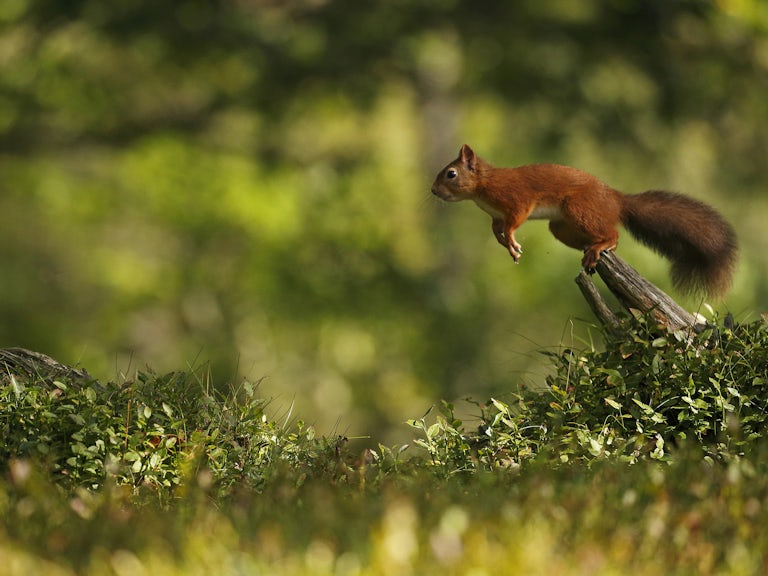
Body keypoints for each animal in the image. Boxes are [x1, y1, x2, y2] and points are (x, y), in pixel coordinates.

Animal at [431, 144, 738, 299]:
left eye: (450, 174)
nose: (433, 191)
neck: (483, 187)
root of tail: (615, 199)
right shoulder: (495, 215)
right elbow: (497, 229)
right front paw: (506, 244)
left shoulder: (517, 200)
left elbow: (515, 220)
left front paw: (512, 241)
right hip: (561, 227)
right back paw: (589, 251)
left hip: (580, 208)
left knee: (614, 234)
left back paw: (601, 247)